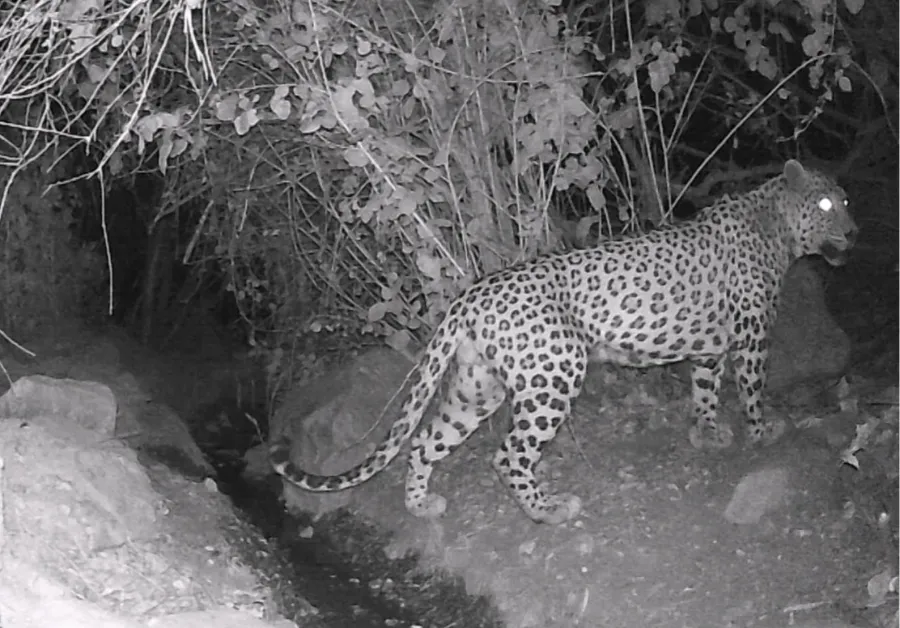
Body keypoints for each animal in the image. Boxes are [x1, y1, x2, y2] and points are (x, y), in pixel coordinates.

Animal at [270, 159, 857, 525]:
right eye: (827, 205)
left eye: (845, 200)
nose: (854, 231)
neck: (779, 229)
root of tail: (469, 295)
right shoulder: (753, 333)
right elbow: (752, 387)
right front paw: (763, 433)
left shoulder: (709, 347)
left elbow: (706, 391)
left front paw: (708, 436)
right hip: (553, 374)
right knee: (509, 456)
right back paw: (547, 511)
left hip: (476, 387)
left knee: (425, 440)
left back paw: (422, 506)